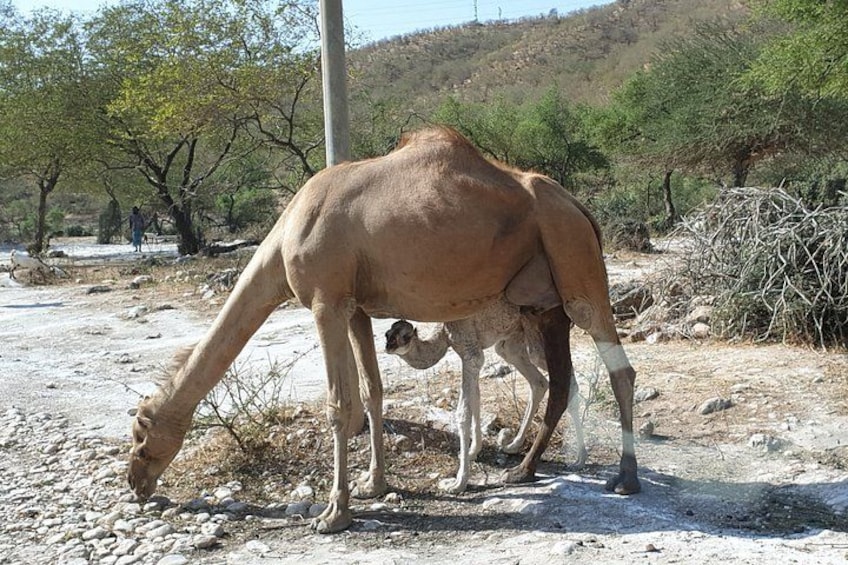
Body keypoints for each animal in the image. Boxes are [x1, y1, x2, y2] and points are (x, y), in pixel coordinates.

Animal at [384, 298, 587, 494]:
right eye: (388, 334)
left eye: (405, 336)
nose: (388, 347)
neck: (444, 332)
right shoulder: (471, 354)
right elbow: (476, 400)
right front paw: (472, 452)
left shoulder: (471, 353)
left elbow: (462, 413)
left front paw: (458, 483)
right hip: (513, 341)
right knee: (538, 382)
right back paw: (513, 446)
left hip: (535, 336)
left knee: (565, 380)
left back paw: (579, 458)